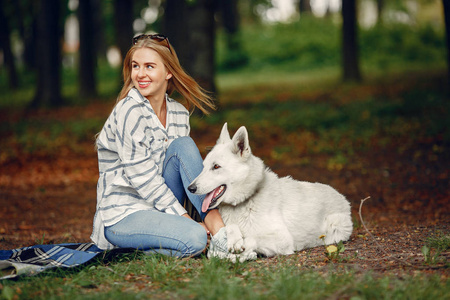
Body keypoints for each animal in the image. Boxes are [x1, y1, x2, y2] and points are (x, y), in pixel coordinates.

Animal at [188, 123, 354, 262]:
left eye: (216, 166)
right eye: (204, 166)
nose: (190, 188)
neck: (245, 201)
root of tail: (341, 196)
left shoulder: (282, 239)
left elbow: (252, 237)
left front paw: (242, 248)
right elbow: (231, 227)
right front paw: (234, 240)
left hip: (335, 229)